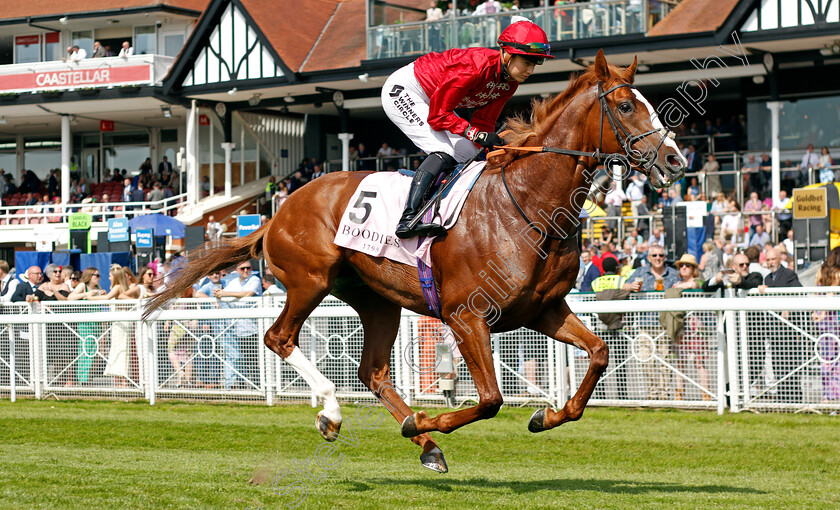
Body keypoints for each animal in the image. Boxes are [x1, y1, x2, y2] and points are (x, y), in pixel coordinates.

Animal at [146, 49, 684, 472]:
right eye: (624, 105)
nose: (676, 160)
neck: (528, 204)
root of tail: (276, 210)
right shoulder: (465, 315)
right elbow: (490, 399)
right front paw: (428, 418)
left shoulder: (543, 310)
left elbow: (598, 354)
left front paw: (544, 415)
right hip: (308, 280)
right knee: (280, 338)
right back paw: (335, 414)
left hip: (377, 300)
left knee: (372, 372)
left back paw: (424, 443)